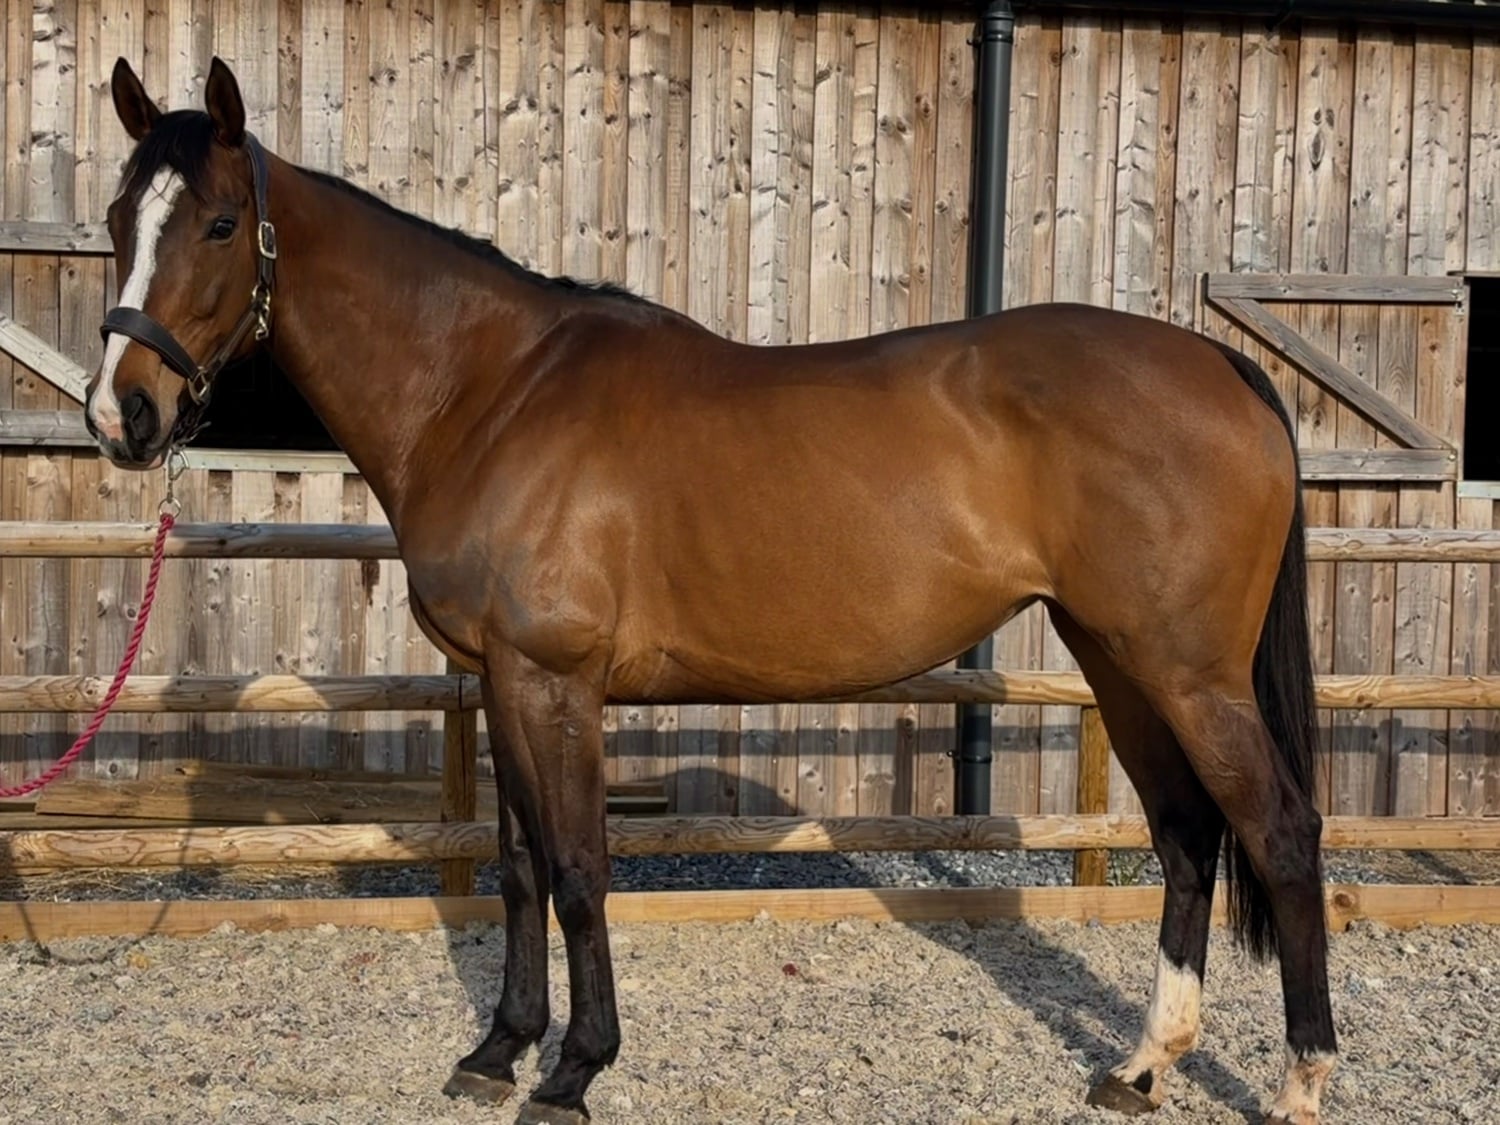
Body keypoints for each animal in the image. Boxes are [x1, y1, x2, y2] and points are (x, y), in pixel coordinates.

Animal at [84, 56, 1336, 1125]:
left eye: (220, 223)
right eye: (115, 220)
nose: (121, 413)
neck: (489, 394)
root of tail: (1218, 361)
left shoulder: (555, 683)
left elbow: (582, 869)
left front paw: (575, 1070)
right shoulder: (500, 682)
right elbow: (520, 868)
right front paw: (499, 1050)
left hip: (1187, 672)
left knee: (1278, 829)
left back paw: (1300, 1079)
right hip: (1119, 657)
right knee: (1187, 834)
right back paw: (1141, 1068)